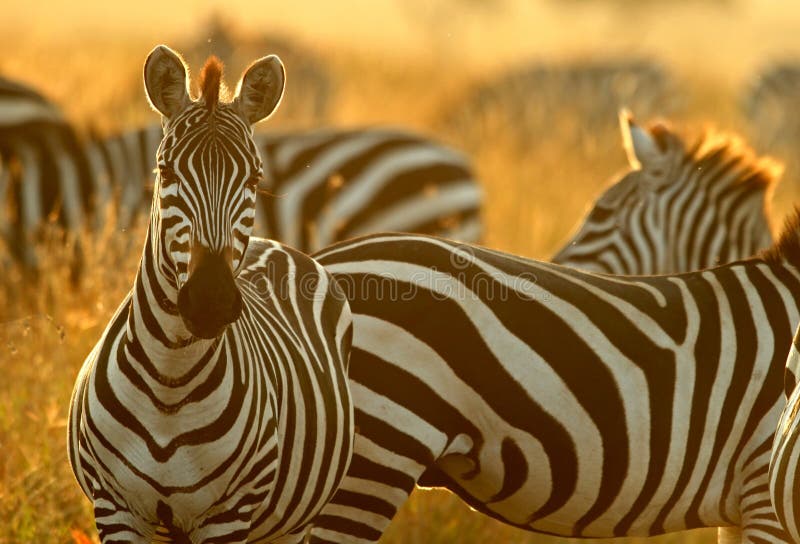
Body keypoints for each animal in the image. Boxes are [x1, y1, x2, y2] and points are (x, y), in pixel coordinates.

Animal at [67, 46, 354, 542]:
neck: (170, 380)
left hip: (294, 525)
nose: (211, 300)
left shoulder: (228, 514)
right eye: (165, 171)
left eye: (255, 179)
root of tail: (273, 244)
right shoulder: (114, 508)